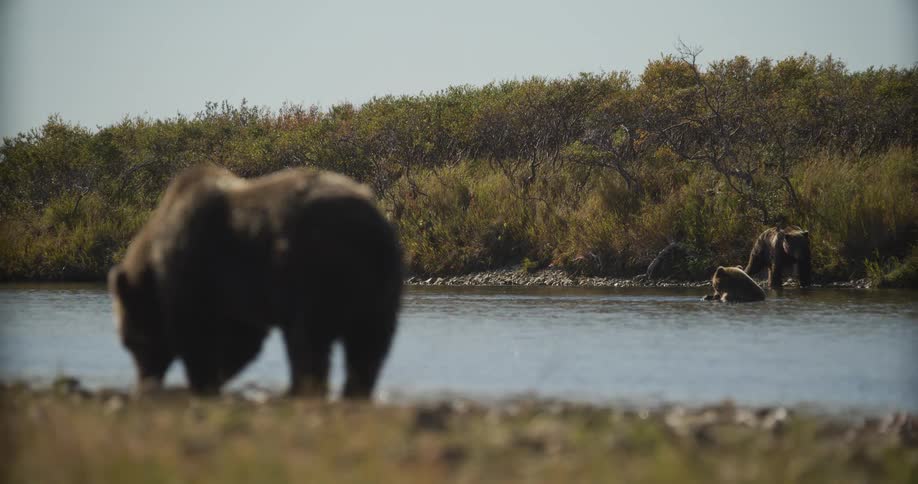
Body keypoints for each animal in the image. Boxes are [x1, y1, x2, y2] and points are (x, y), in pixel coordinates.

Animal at [108, 165, 403, 399]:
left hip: (312, 273)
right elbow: (243, 339)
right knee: (368, 345)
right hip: (380, 287)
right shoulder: (233, 291)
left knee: (308, 339)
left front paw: (203, 381)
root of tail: (373, 231)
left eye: (129, 340)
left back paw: (298, 389)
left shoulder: (195, 267)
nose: (144, 384)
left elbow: (196, 331)